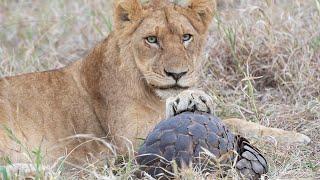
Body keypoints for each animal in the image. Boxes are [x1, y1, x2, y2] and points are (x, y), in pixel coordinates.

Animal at [0, 0, 310, 167]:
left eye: (186, 37)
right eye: (152, 39)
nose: (177, 74)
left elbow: (236, 120)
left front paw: (293, 137)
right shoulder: (129, 141)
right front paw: (188, 101)